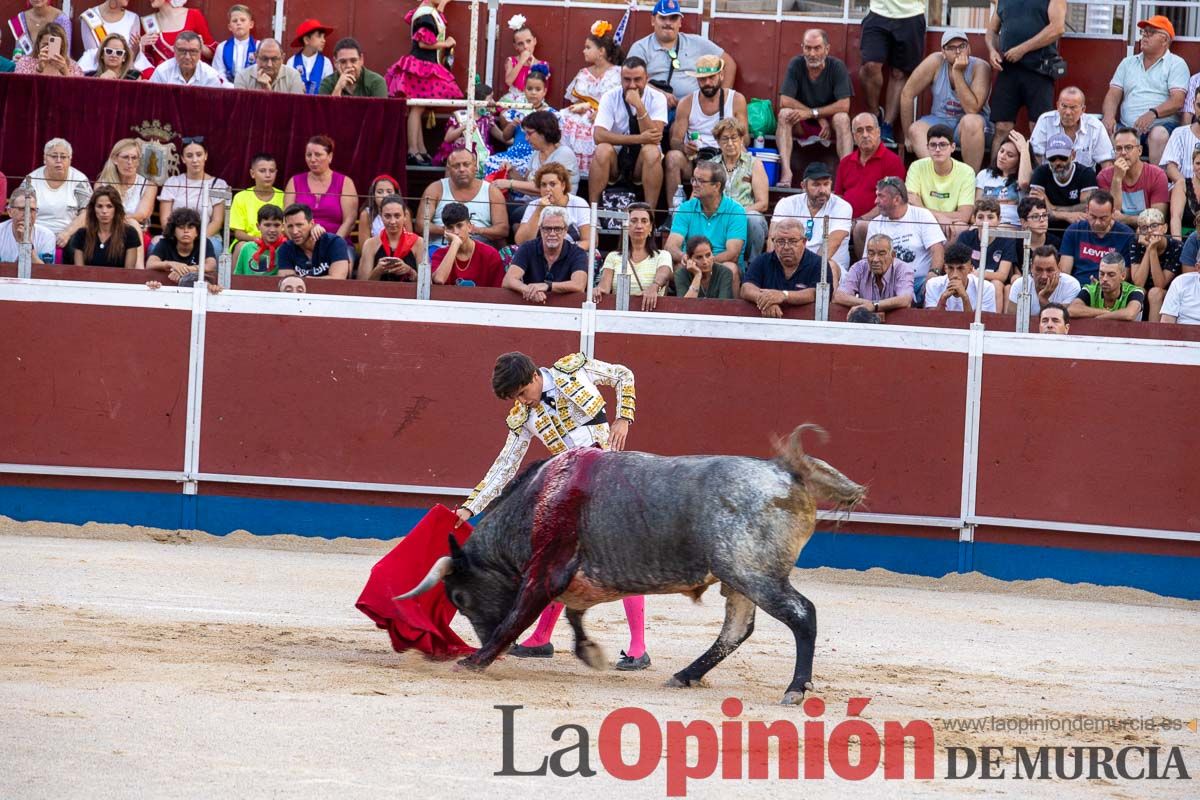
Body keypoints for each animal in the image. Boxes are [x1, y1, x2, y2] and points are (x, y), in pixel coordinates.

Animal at [398, 422, 868, 705]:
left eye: (460, 597)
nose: (480, 641)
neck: (537, 500)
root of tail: (786, 471)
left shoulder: (544, 572)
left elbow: (518, 616)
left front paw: (476, 660)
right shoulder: (573, 580)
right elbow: (572, 615)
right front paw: (588, 652)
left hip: (752, 572)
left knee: (801, 615)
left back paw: (795, 690)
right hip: (739, 579)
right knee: (736, 630)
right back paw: (685, 675)